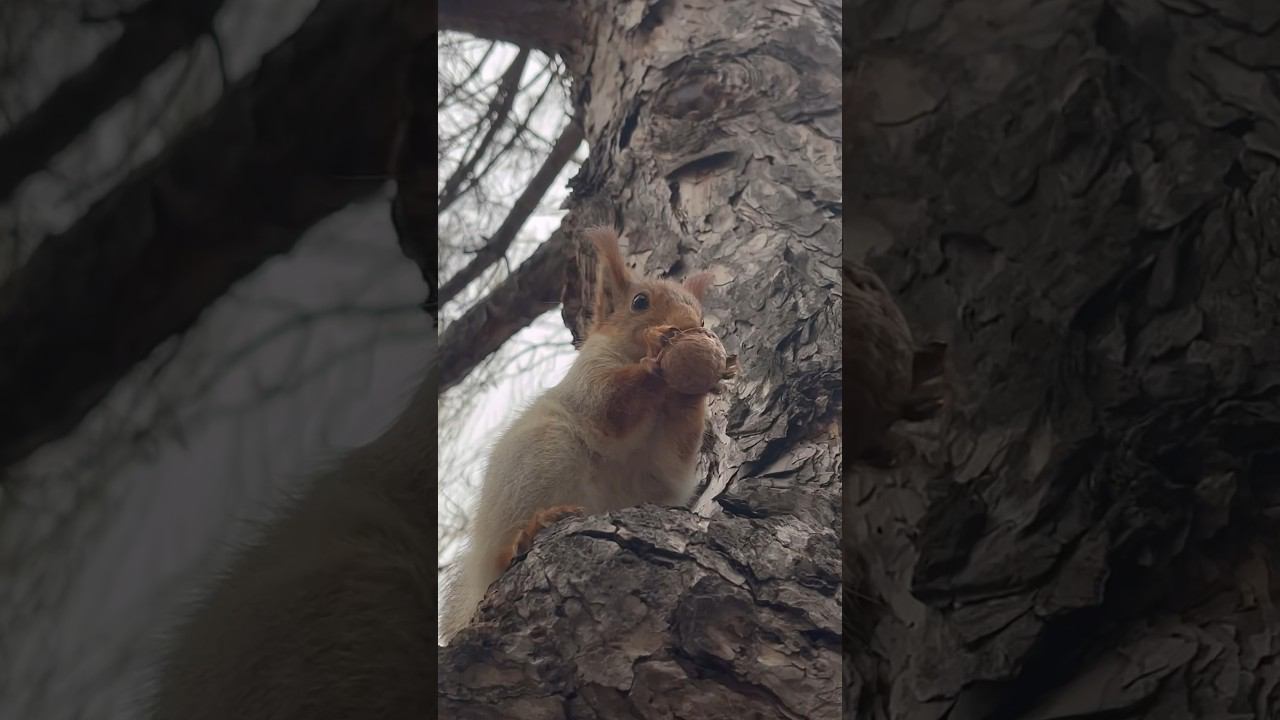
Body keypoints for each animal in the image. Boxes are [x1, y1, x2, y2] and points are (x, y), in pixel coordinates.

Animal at [438, 226, 736, 644]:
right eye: (640, 302)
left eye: (700, 311)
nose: (694, 324)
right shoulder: (589, 379)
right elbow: (609, 409)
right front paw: (656, 355)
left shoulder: (664, 459)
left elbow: (674, 454)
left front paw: (698, 387)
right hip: (543, 459)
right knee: (501, 556)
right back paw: (532, 529)